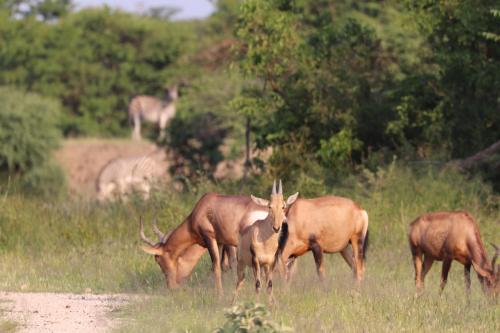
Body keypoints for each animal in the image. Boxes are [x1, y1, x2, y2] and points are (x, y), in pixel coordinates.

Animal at [137, 191, 270, 292]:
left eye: (159, 260)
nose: (171, 287)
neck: (204, 206)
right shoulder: (221, 242)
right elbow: (222, 265)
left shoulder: (210, 237)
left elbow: (217, 266)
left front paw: (220, 295)